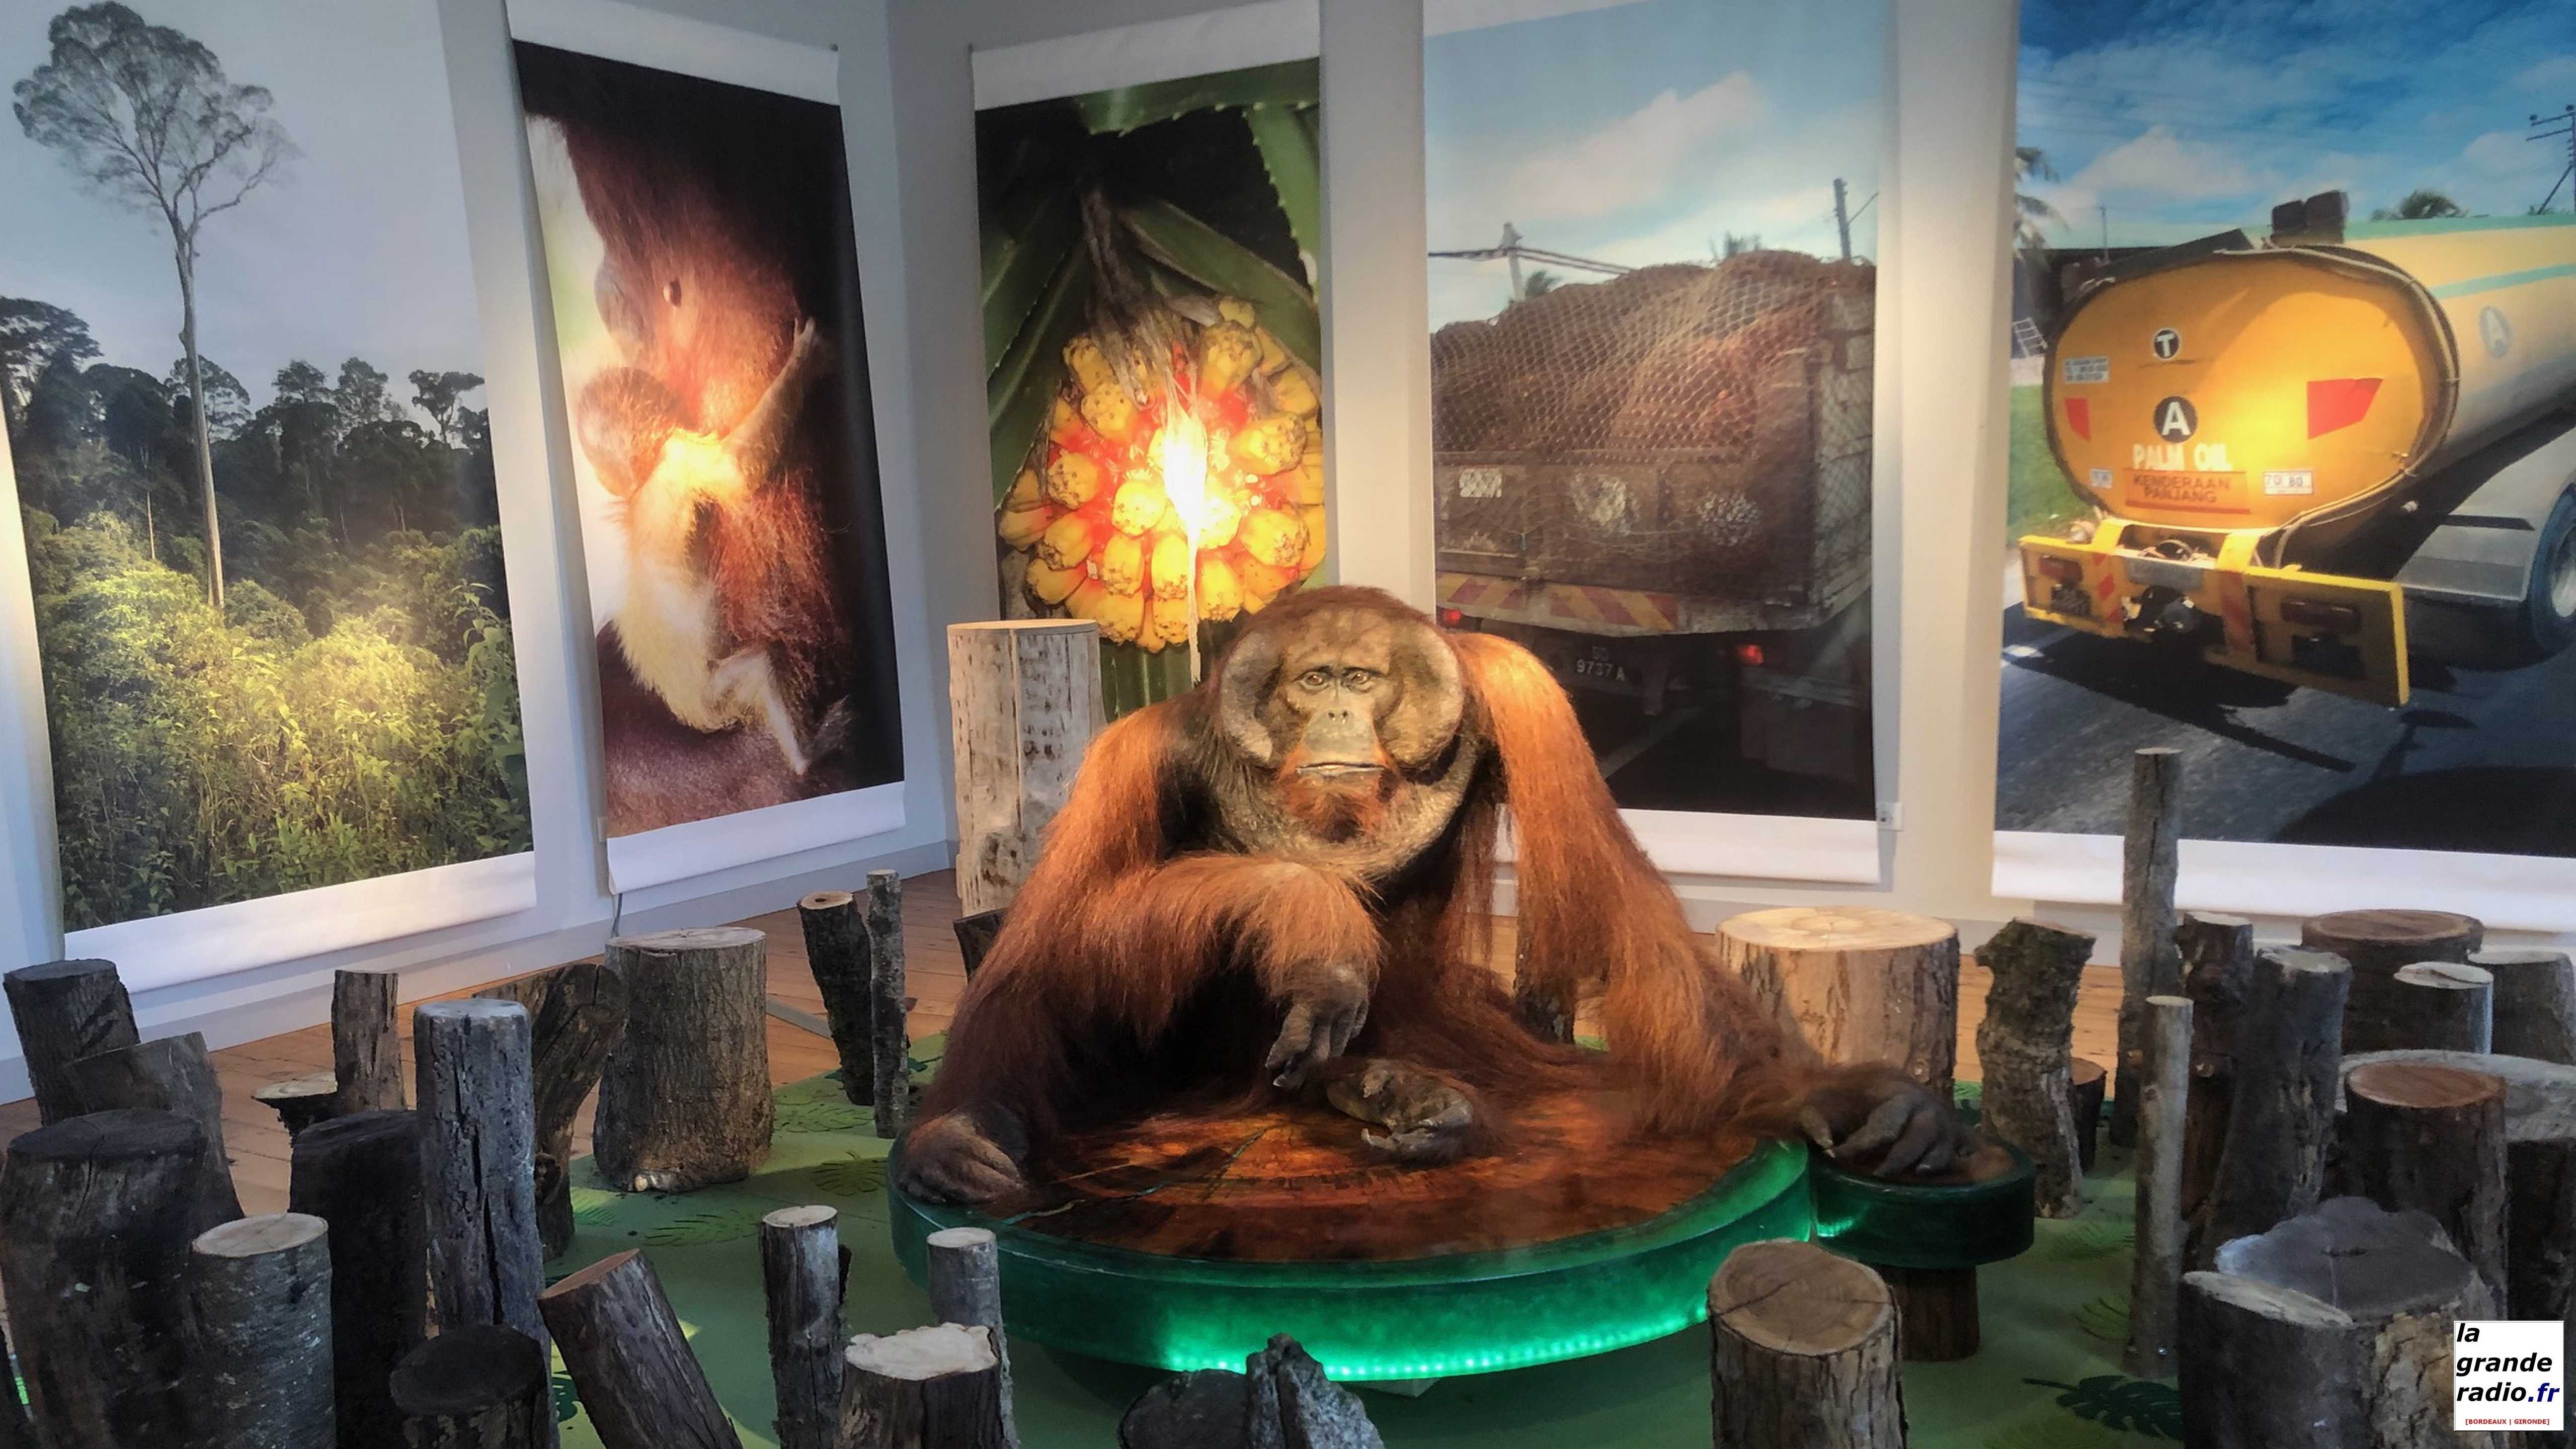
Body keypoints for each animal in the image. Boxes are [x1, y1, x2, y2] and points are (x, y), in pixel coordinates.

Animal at [899, 586, 1973, 1205]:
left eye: (1361, 678)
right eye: (1312, 682)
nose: (1337, 712)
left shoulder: (1526, 691)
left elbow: (1622, 905)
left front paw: (1829, 1092)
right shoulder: (1136, 757)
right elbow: (1061, 926)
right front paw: (1307, 913)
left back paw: (1398, 1091)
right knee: (1052, 967)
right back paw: (965, 1130)